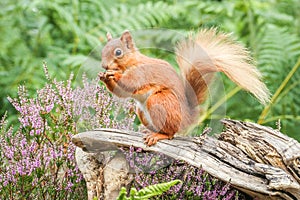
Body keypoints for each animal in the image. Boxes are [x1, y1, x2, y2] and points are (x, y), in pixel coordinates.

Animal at [99, 28, 270, 146]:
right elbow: (121, 92)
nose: (104, 65)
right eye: (103, 50)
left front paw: (114, 75)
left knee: (171, 133)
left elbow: (130, 82)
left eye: (118, 52)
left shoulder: (142, 73)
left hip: (158, 101)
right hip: (141, 110)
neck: (130, 63)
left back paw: (157, 135)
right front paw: (104, 76)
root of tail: (187, 118)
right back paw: (148, 130)